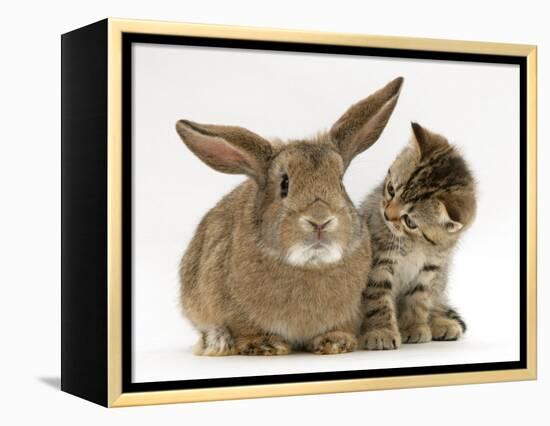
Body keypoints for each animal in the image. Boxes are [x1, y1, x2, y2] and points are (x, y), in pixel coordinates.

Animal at [177, 76, 406, 356]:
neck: (310, 264)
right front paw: (266, 344)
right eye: (284, 184)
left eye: (340, 183)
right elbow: (245, 330)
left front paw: (336, 342)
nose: (320, 220)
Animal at [360, 122, 476, 350]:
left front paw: (414, 327)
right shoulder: (379, 261)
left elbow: (419, 299)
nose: (386, 215)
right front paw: (382, 331)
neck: (416, 244)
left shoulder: (431, 268)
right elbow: (378, 297)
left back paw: (441, 322)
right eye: (391, 189)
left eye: (410, 221)